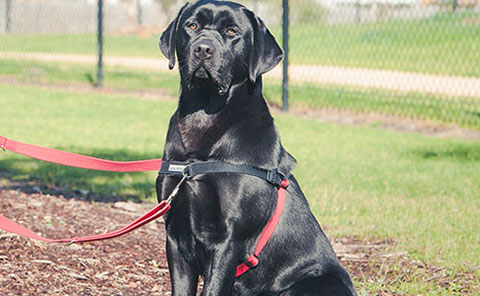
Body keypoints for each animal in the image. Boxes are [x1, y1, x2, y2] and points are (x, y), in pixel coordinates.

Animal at [157, 1, 356, 294]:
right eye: (191, 25)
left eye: (231, 31)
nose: (203, 48)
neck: (204, 115)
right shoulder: (174, 233)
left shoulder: (227, 239)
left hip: (310, 283)